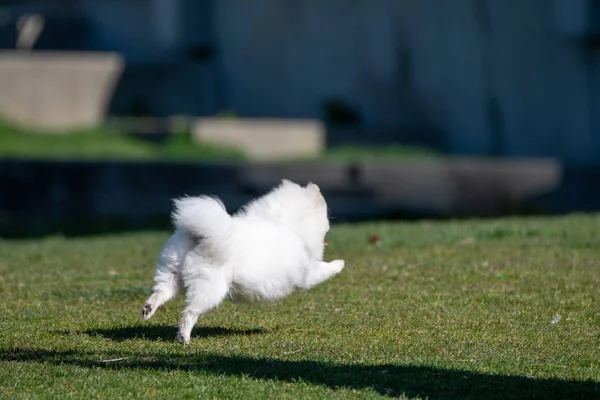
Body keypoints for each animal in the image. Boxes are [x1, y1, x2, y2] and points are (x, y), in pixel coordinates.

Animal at [141, 179, 344, 344]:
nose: (331, 220)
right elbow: (325, 269)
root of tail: (200, 236)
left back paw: (148, 309)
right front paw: (339, 263)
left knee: (161, 292)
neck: (287, 224)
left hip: (172, 274)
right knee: (188, 314)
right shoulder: (308, 274)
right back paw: (184, 338)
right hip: (210, 289)